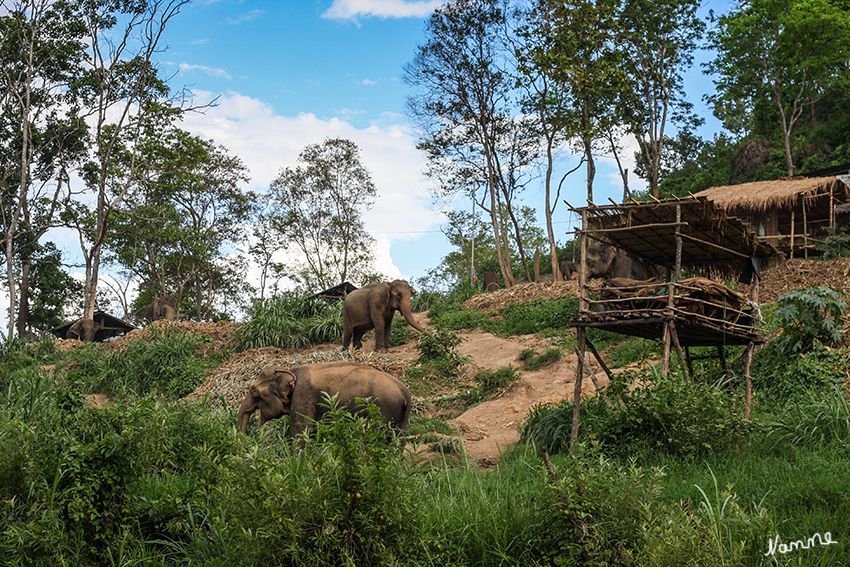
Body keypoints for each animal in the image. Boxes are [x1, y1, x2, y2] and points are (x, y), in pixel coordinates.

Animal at [237, 362, 412, 446]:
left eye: (254, 392)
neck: (291, 370)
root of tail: (405, 391)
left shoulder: (303, 396)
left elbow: (301, 431)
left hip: (383, 409)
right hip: (403, 414)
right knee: (398, 440)